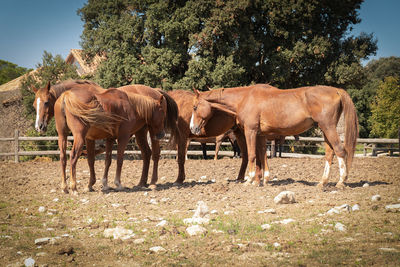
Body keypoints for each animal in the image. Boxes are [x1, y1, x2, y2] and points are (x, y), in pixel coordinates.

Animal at [31, 80, 167, 194]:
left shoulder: (105, 138)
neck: (130, 104)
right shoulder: (121, 137)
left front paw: (98, 184)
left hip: (63, 136)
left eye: (46, 102)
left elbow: (102, 160)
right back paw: (72, 187)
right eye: (34, 105)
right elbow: (117, 159)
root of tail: (66, 96)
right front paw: (116, 184)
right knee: (71, 156)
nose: (39, 126)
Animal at [191, 84, 360, 188]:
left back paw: (341, 181)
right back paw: (322, 182)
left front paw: (250, 180)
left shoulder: (251, 131)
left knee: (340, 151)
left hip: (328, 128)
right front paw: (262, 180)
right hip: (325, 130)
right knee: (330, 154)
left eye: (195, 107)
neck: (244, 98)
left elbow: (252, 155)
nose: (193, 128)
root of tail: (336, 90)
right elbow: (262, 155)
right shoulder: (260, 135)